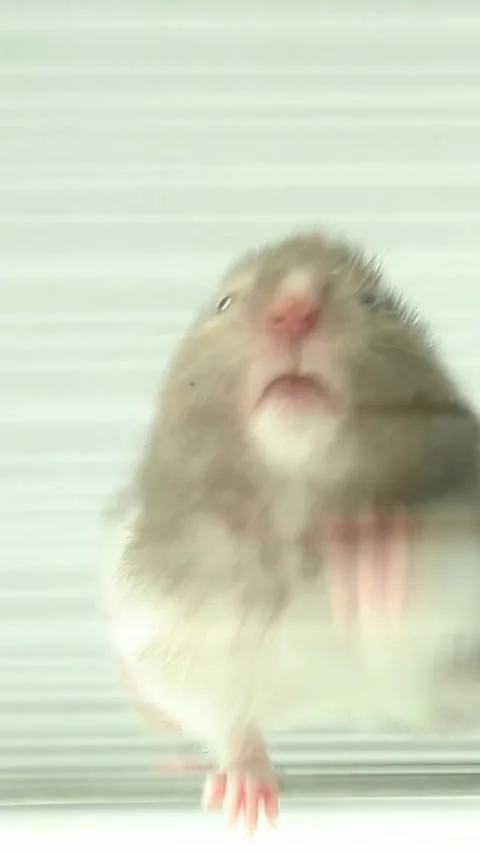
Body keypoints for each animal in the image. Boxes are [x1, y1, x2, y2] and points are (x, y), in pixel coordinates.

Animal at [101, 230, 480, 834]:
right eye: (225, 303)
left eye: (375, 302)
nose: (295, 311)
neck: (298, 501)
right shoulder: (167, 625)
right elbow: (223, 716)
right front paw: (246, 805)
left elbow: (429, 569)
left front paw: (368, 561)